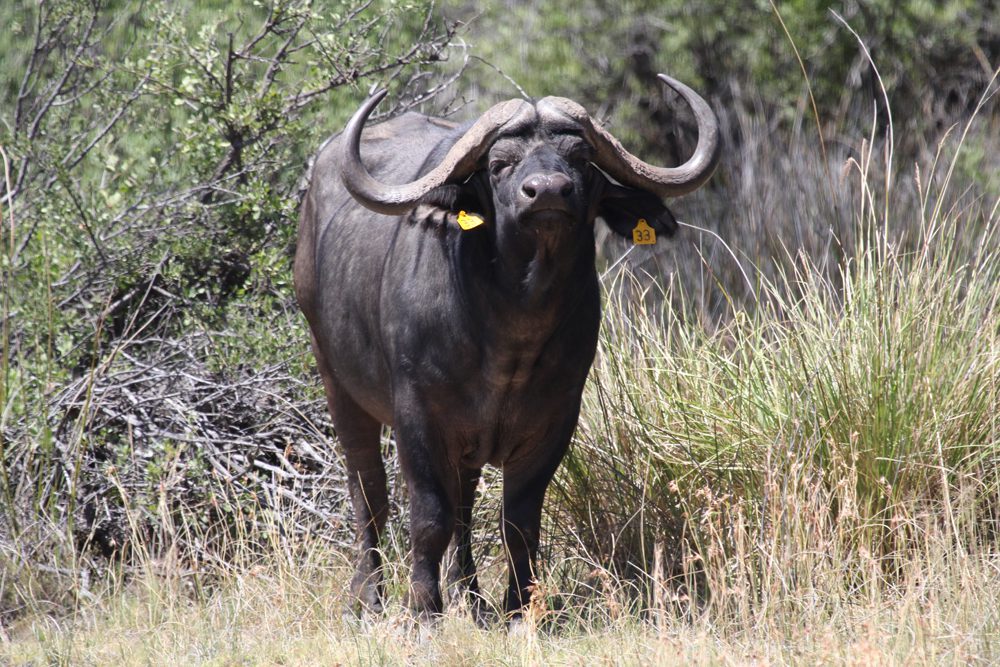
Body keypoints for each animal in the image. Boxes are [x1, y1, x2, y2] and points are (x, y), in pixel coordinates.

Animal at [294, 74, 719, 622]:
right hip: (337, 382)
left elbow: (518, 522)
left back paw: (472, 597)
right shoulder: (417, 417)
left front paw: (518, 608)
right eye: (500, 163)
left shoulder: (554, 422)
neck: (509, 336)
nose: (548, 192)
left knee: (464, 505)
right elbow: (428, 517)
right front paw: (423, 610)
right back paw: (367, 597)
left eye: (581, 160)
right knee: (368, 493)